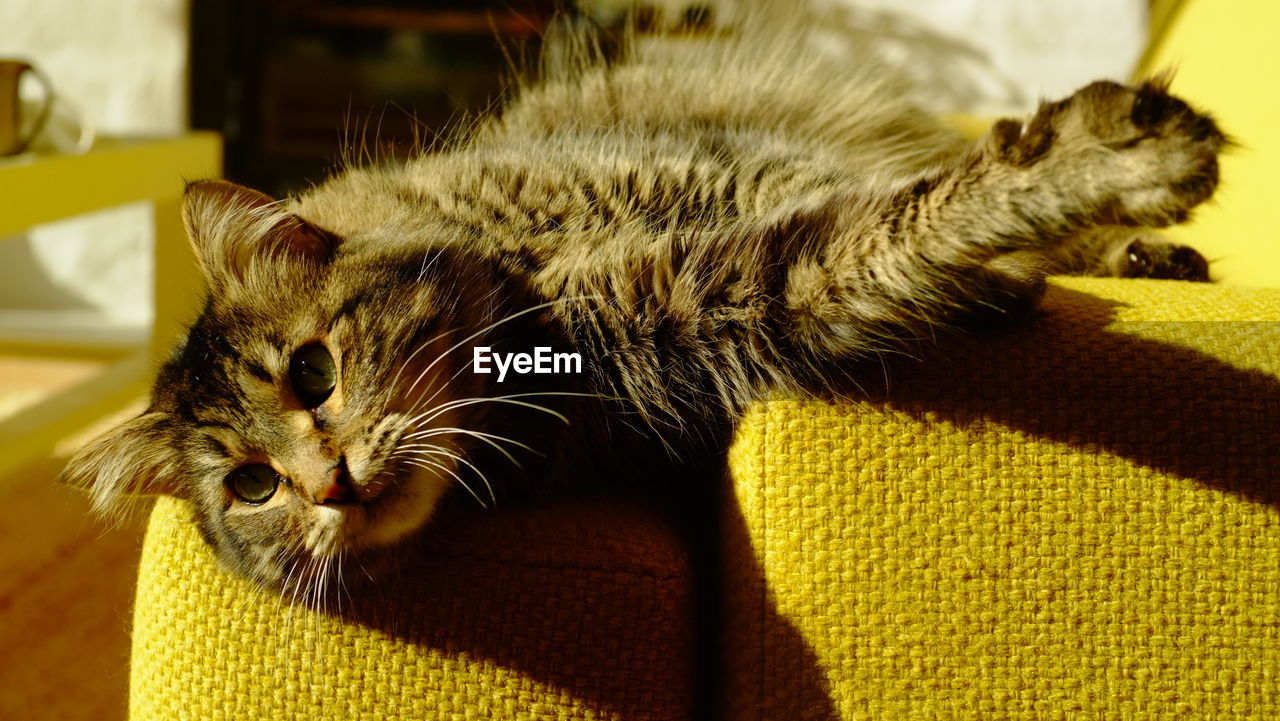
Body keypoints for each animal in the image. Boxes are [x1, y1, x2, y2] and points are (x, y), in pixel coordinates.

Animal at [57, 5, 1218, 594]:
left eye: (313, 370)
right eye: (252, 489)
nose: (326, 486)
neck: (525, 285)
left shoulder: (748, 180)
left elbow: (925, 196)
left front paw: (1103, 169)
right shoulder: (729, 298)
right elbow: (877, 235)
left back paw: (1137, 249)